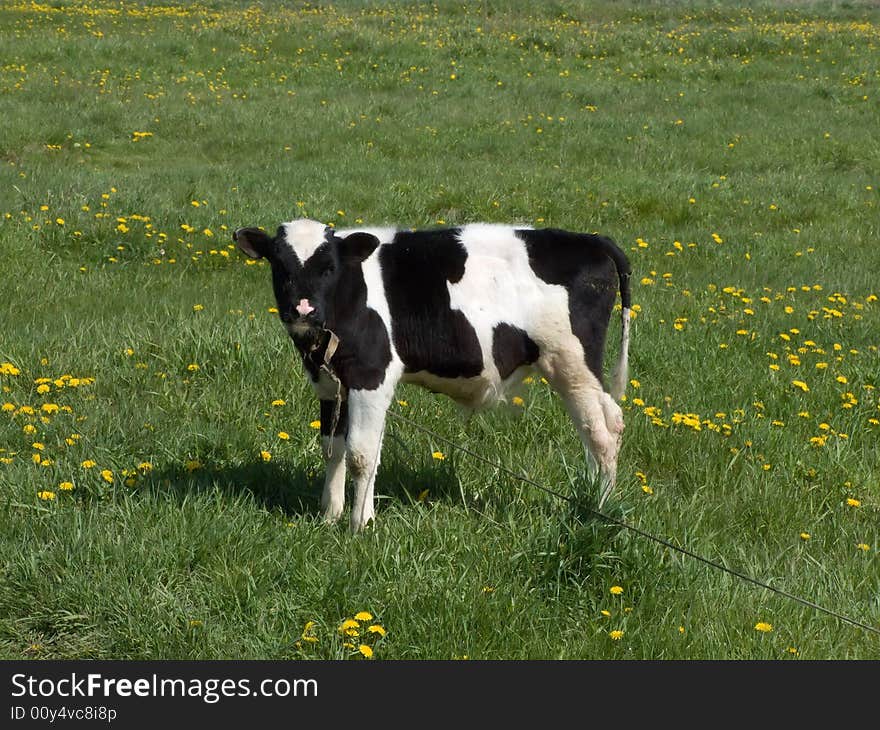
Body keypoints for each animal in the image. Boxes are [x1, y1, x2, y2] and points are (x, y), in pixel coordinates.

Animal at [234, 216, 632, 528]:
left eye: (328, 267)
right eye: (280, 266)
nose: (304, 309)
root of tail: (590, 239)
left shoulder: (372, 374)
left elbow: (362, 453)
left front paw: (360, 523)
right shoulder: (330, 383)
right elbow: (333, 448)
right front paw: (330, 515)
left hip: (571, 363)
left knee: (600, 433)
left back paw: (596, 509)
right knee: (610, 421)